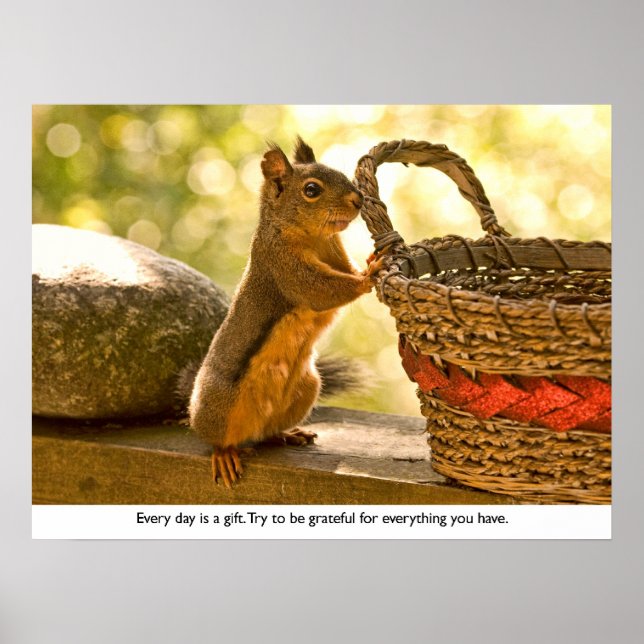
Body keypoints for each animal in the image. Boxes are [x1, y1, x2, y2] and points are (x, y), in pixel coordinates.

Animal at [188, 137, 380, 488]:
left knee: (267, 433)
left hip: (306, 389)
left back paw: (288, 434)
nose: (358, 199)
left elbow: (344, 272)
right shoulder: (283, 266)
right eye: (311, 190)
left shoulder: (335, 252)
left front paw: (372, 259)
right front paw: (369, 275)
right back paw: (224, 454)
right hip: (218, 407)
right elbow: (324, 290)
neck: (312, 236)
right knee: (219, 439)